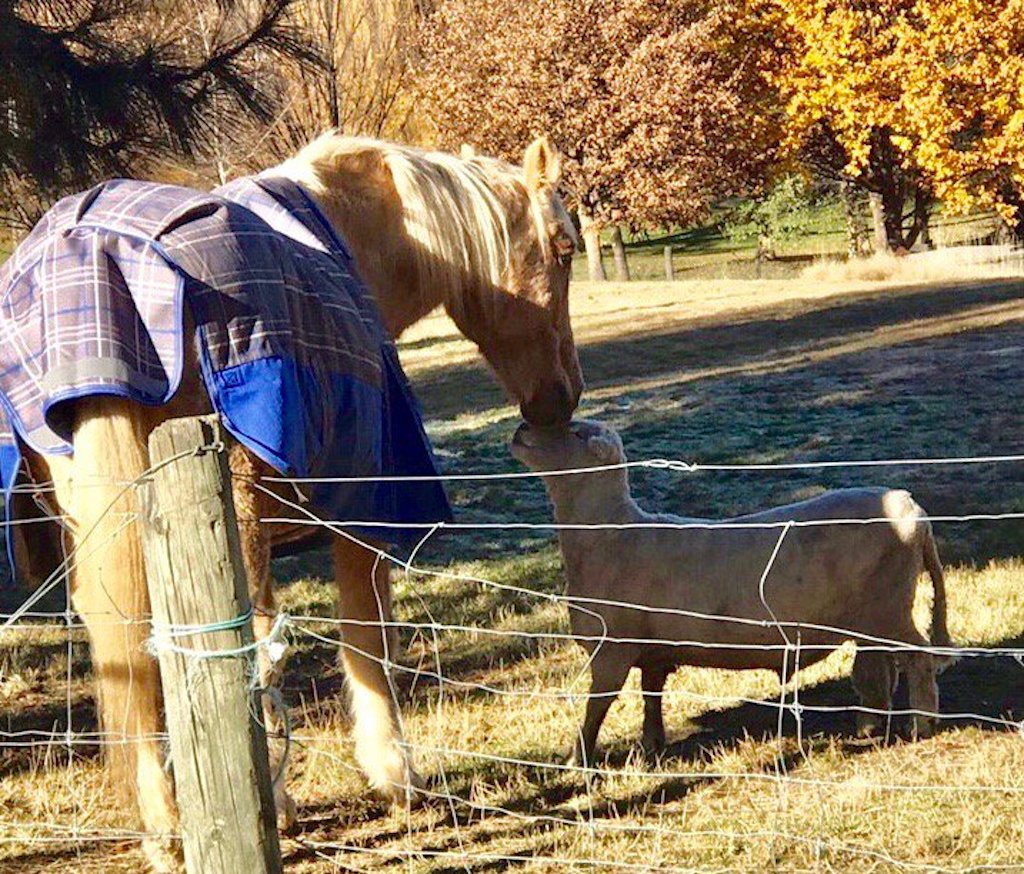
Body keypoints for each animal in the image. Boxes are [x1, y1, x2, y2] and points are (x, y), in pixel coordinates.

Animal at [10, 133, 582, 871]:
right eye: (564, 247)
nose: (563, 399)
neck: (348, 238)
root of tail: (88, 258)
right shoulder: (359, 511)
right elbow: (366, 639)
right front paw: (394, 774)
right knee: (240, 650)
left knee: (134, 656)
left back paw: (166, 829)